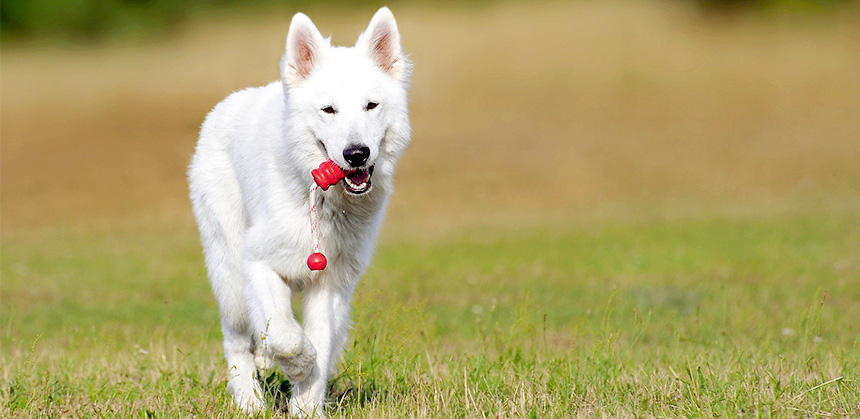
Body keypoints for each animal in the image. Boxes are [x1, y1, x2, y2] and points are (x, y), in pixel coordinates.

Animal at [187, 8, 414, 418]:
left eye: (371, 106)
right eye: (328, 110)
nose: (357, 154)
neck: (323, 202)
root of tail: (225, 105)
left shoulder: (330, 284)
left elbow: (319, 342)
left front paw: (307, 405)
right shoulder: (257, 263)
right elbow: (286, 336)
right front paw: (298, 365)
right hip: (229, 273)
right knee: (237, 339)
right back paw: (250, 402)